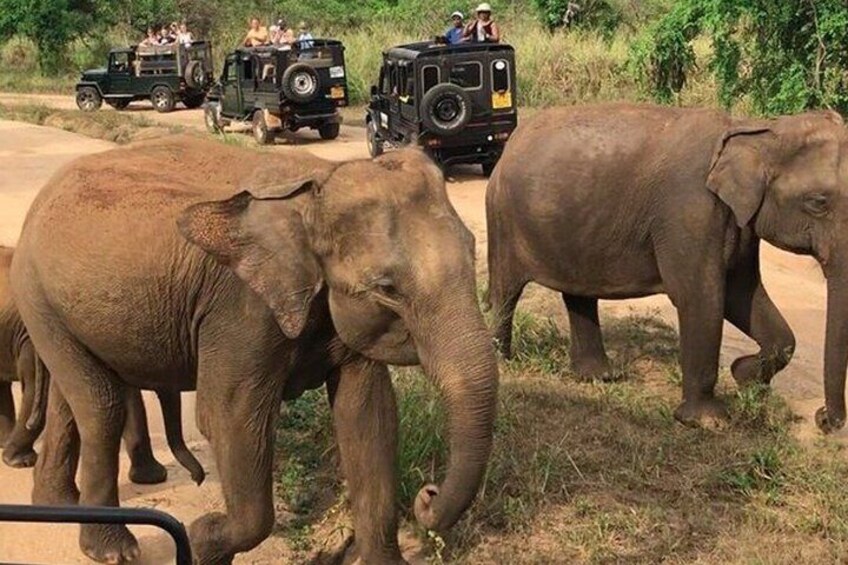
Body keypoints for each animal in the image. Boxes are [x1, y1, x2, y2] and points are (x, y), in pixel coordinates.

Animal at [486, 103, 847, 430]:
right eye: (818, 202)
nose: (824, 420)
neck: (755, 129)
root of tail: (509, 147)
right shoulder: (690, 213)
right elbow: (701, 298)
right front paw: (710, 422)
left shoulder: (740, 223)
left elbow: (743, 295)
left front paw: (744, 377)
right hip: (503, 217)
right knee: (506, 291)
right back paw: (503, 361)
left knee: (579, 294)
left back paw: (601, 377)